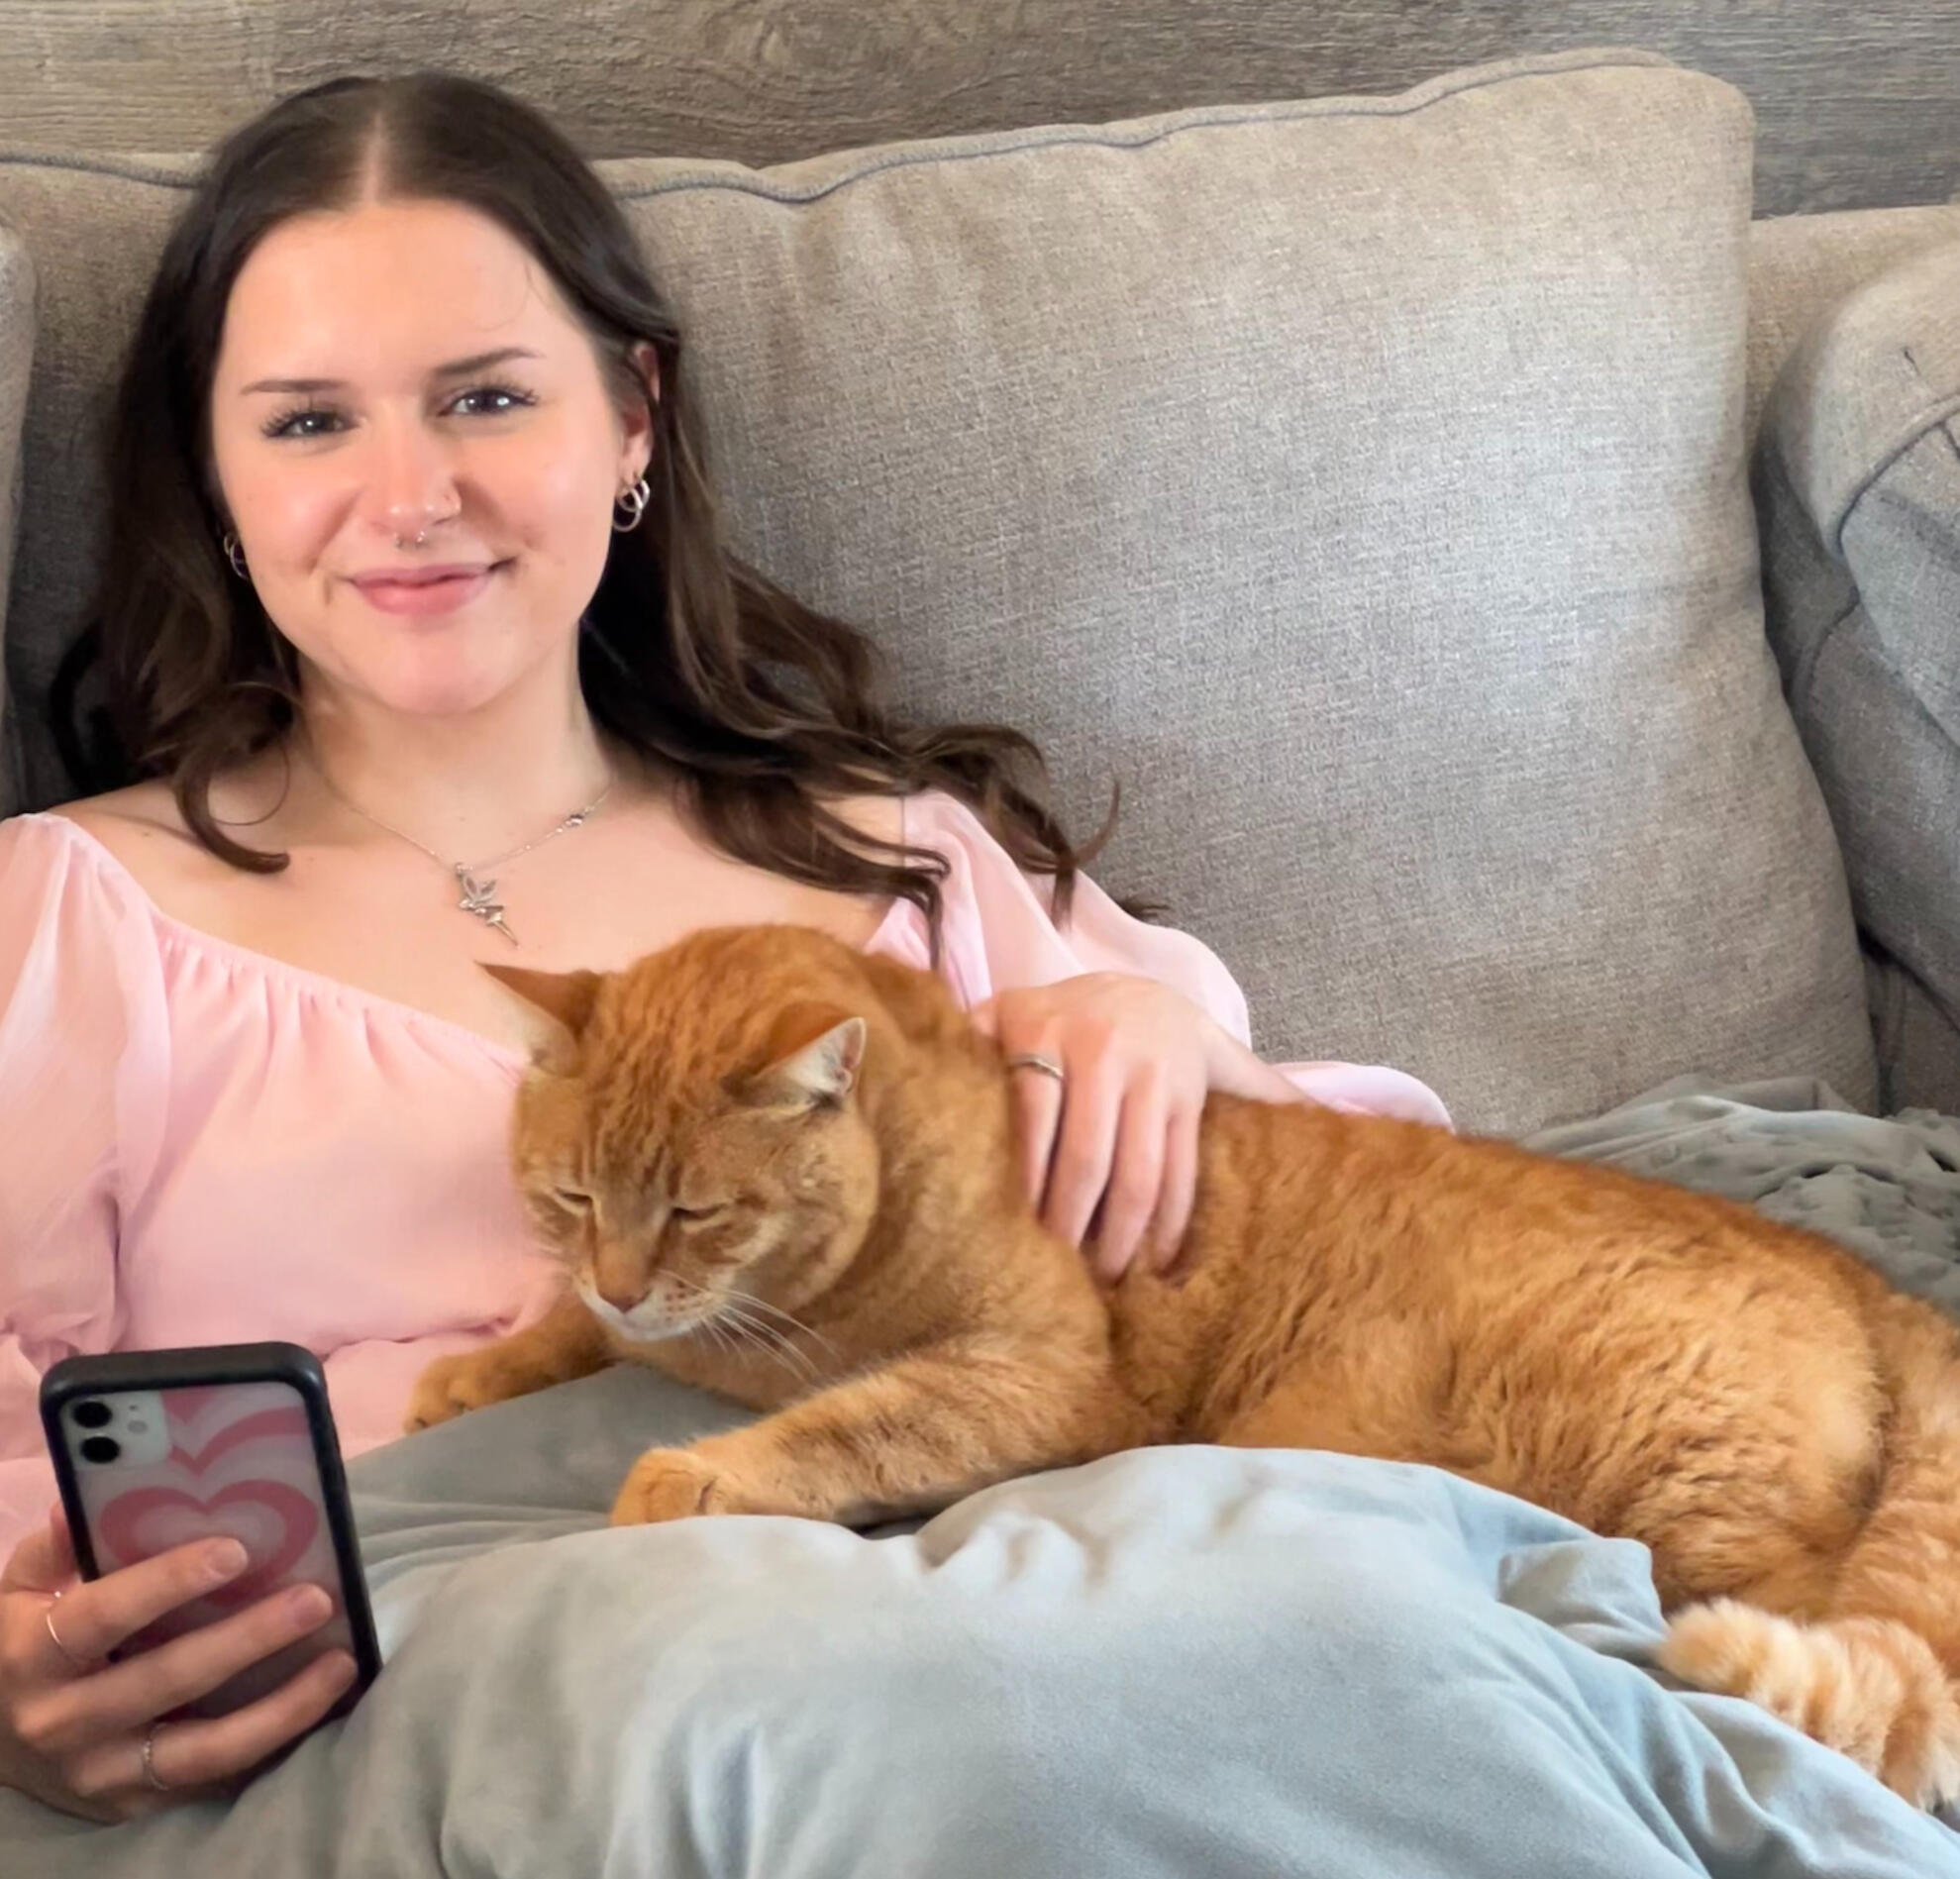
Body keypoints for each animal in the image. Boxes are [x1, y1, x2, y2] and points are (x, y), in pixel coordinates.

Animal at [407, 922, 1960, 1807]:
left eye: (693, 1209)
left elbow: (851, 1425)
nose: (620, 1269)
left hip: (1693, 1506)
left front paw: (691, 1472)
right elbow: (576, 1334)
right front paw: (482, 1368)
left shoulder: (1030, 1377)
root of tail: (1859, 1273)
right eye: (569, 1197)